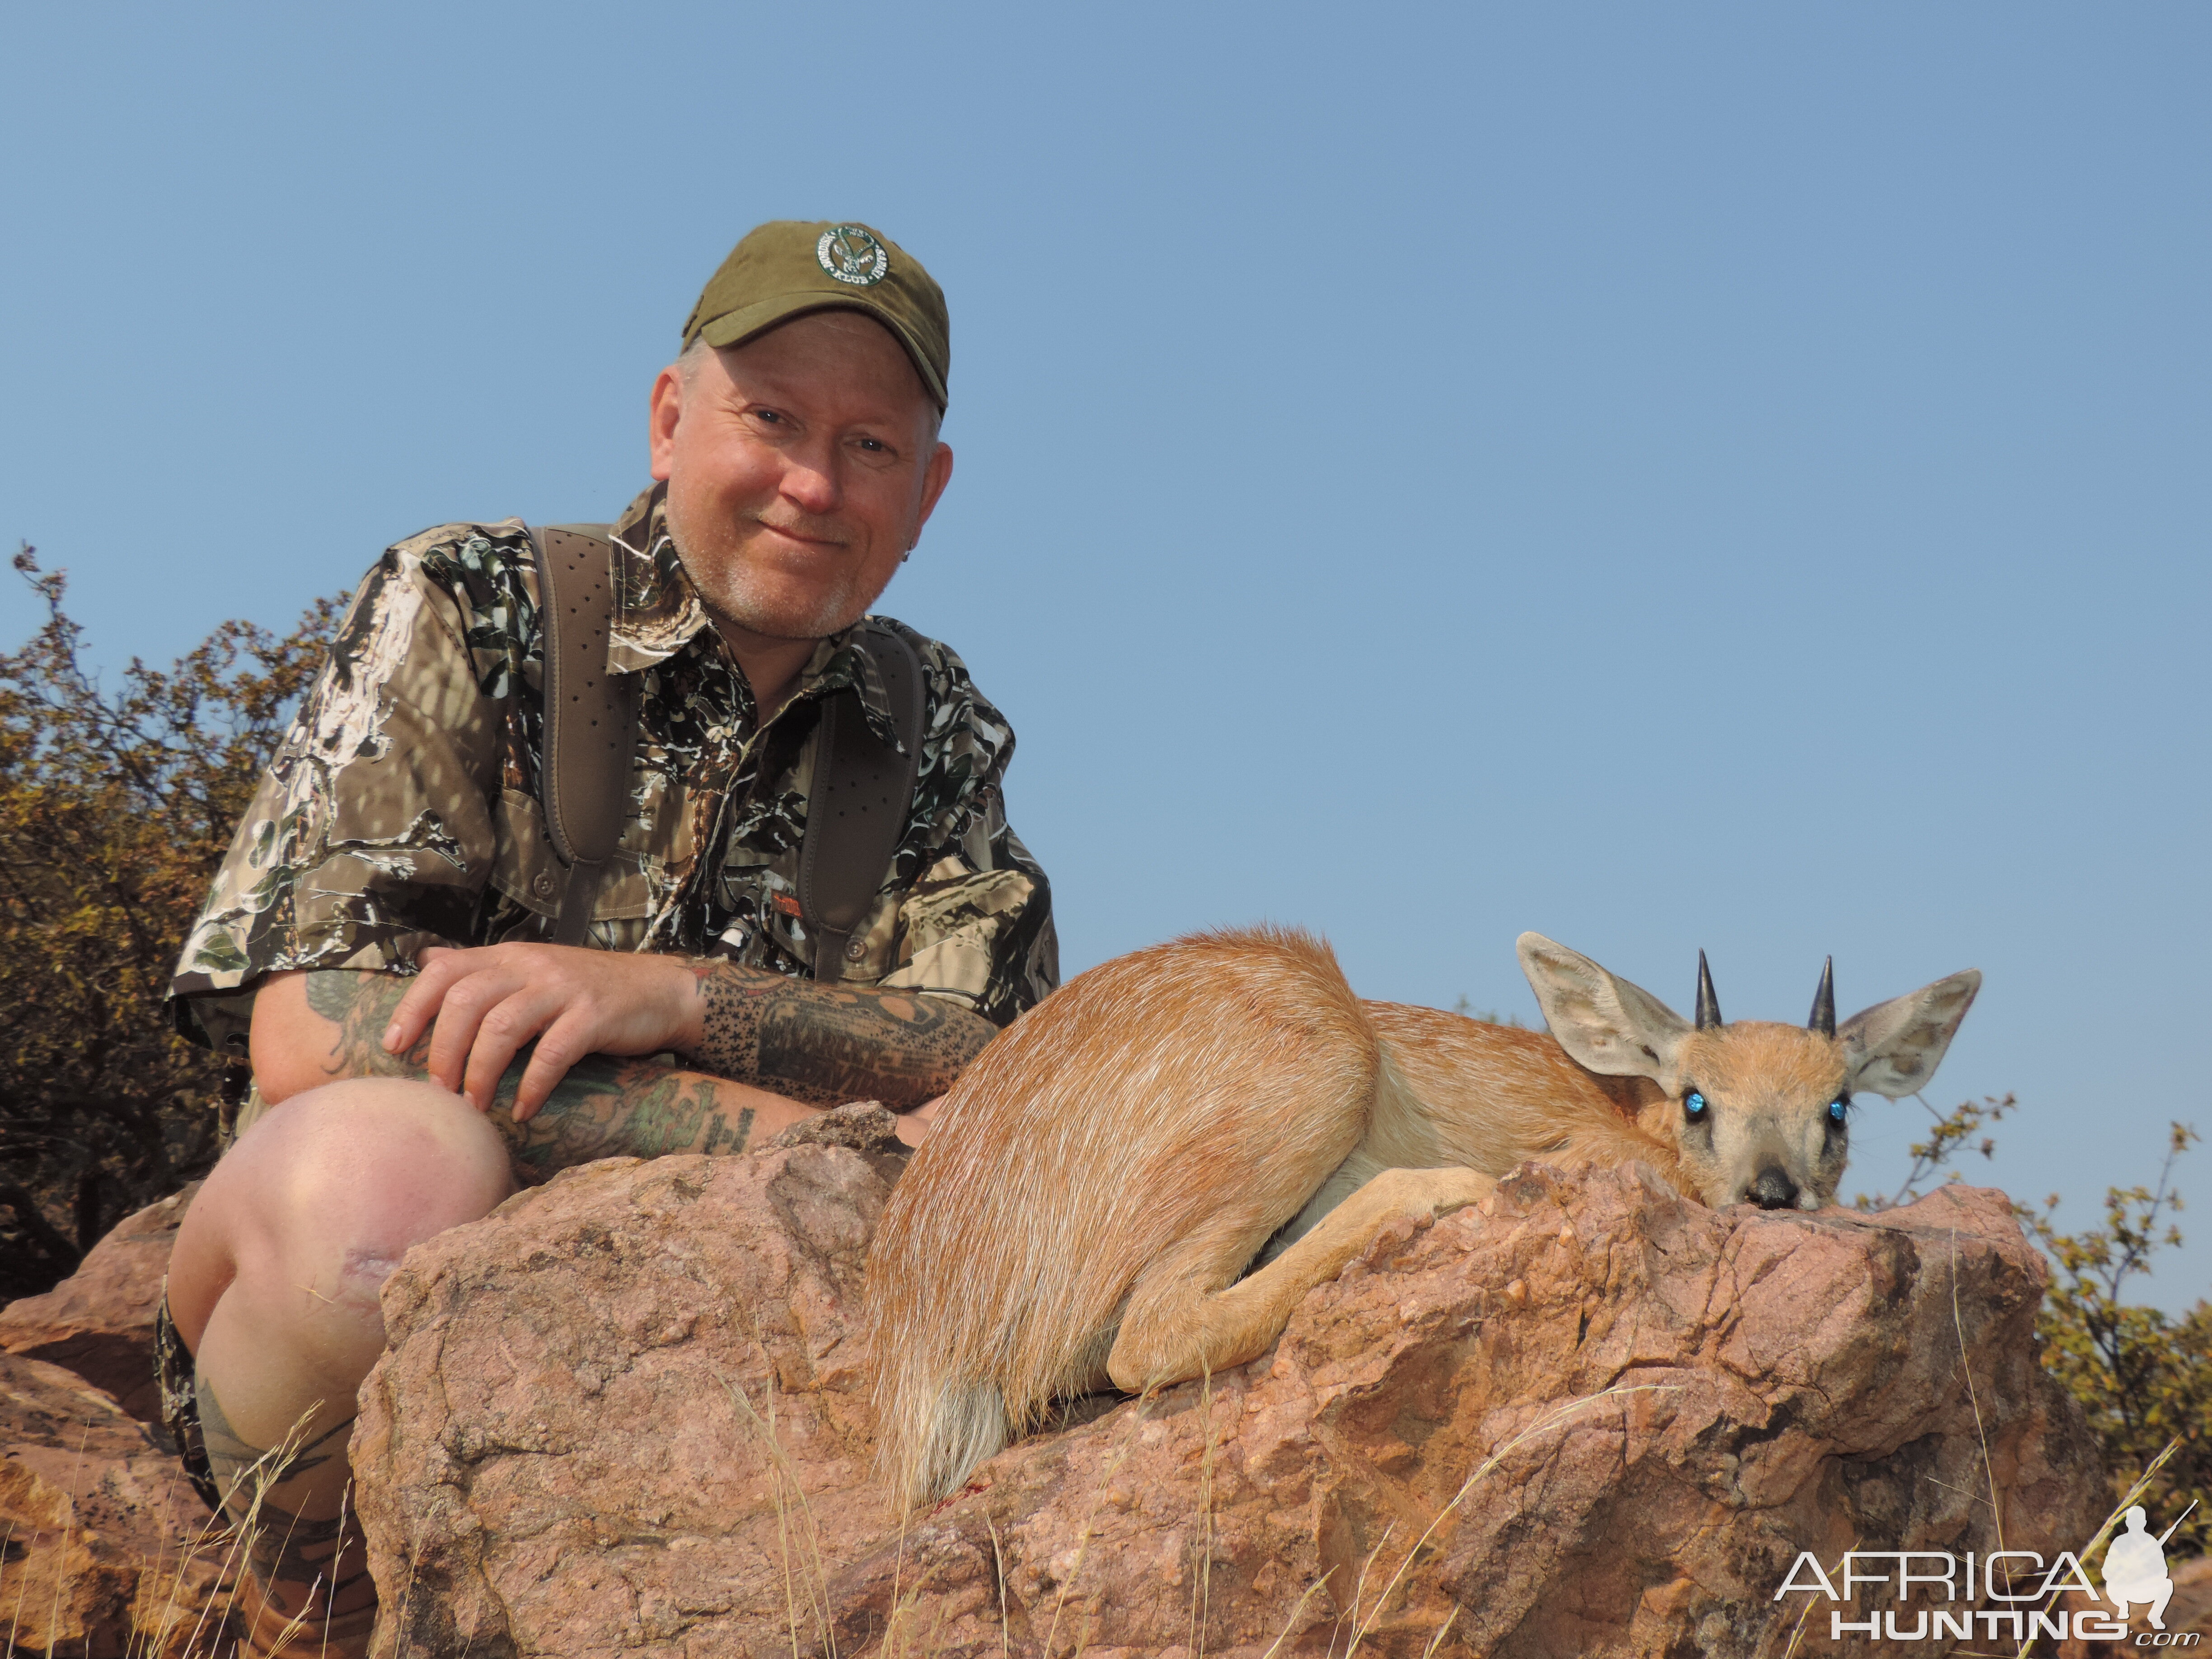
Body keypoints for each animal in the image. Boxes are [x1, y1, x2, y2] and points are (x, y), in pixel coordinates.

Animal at [862, 929, 1991, 1513]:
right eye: (1697, 1098)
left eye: (1837, 1109)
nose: (1774, 1192)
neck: (1630, 1119)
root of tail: (929, 1286)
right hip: (1322, 1073)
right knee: (1150, 1338)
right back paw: (1441, 1191)